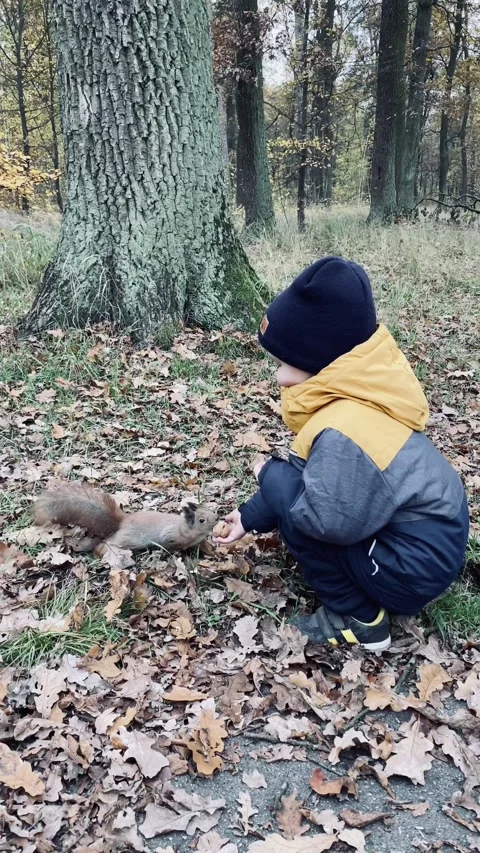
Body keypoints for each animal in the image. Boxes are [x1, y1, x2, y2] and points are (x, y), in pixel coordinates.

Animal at [33, 481, 218, 553]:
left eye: (208, 509)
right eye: (201, 520)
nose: (217, 518)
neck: (184, 527)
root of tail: (122, 523)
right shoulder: (170, 534)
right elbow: (170, 545)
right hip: (127, 540)